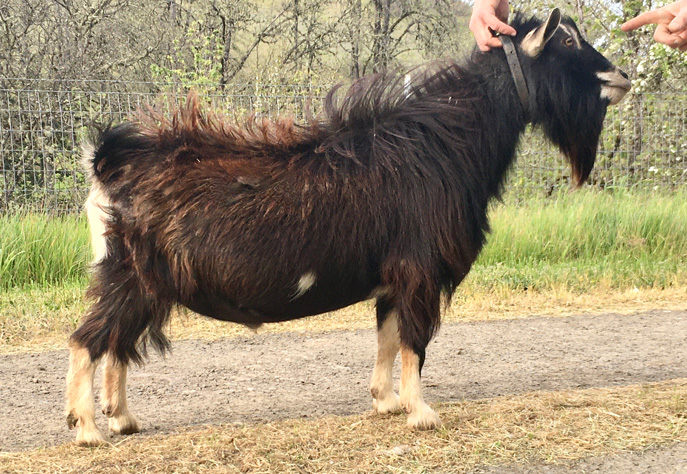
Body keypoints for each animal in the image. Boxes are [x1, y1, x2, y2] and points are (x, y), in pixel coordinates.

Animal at [67, 9, 632, 446]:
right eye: (566, 40)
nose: (621, 77)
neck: (444, 141)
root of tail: (109, 162)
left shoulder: (393, 276)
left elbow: (387, 335)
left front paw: (386, 402)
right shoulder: (420, 268)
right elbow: (415, 341)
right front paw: (422, 413)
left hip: (143, 283)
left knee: (117, 343)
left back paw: (123, 419)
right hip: (129, 275)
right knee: (86, 341)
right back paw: (89, 429)